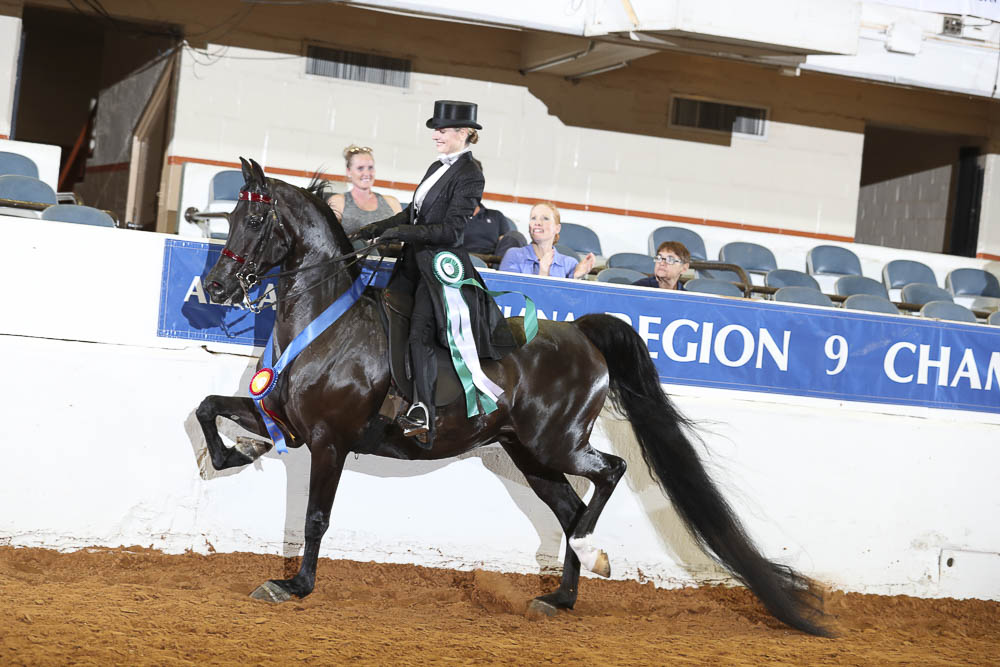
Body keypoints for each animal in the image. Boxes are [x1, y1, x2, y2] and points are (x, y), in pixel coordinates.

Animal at [195, 158, 830, 636]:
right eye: (231, 215)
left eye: (256, 217)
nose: (216, 287)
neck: (325, 323)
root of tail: (583, 334)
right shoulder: (282, 417)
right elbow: (206, 408)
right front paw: (235, 454)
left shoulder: (330, 441)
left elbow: (315, 517)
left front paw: (293, 585)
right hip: (530, 456)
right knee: (572, 509)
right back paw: (559, 597)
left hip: (555, 444)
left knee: (610, 472)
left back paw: (592, 553)